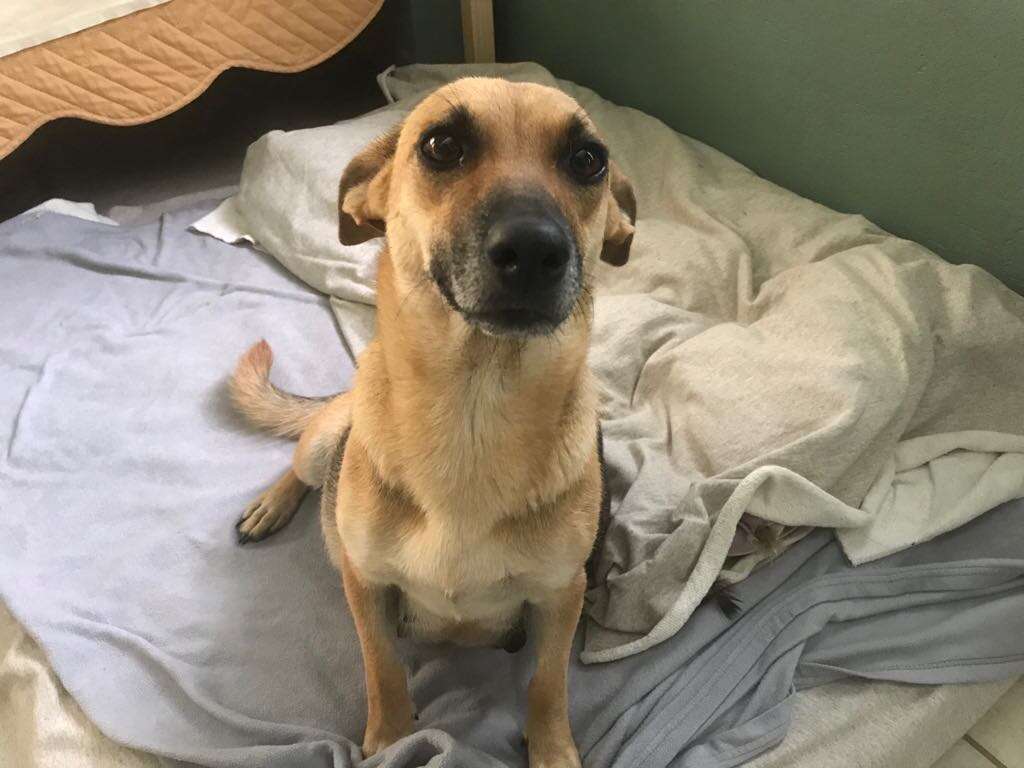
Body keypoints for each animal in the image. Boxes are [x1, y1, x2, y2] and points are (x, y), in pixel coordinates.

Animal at [228, 76, 634, 765]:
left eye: (587, 160)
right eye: (442, 146)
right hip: (325, 440)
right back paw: (271, 505)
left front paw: (552, 747)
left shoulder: (562, 595)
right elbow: (381, 666)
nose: (535, 249)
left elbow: (549, 682)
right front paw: (392, 737)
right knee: (299, 465)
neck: (474, 410)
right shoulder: (365, 584)